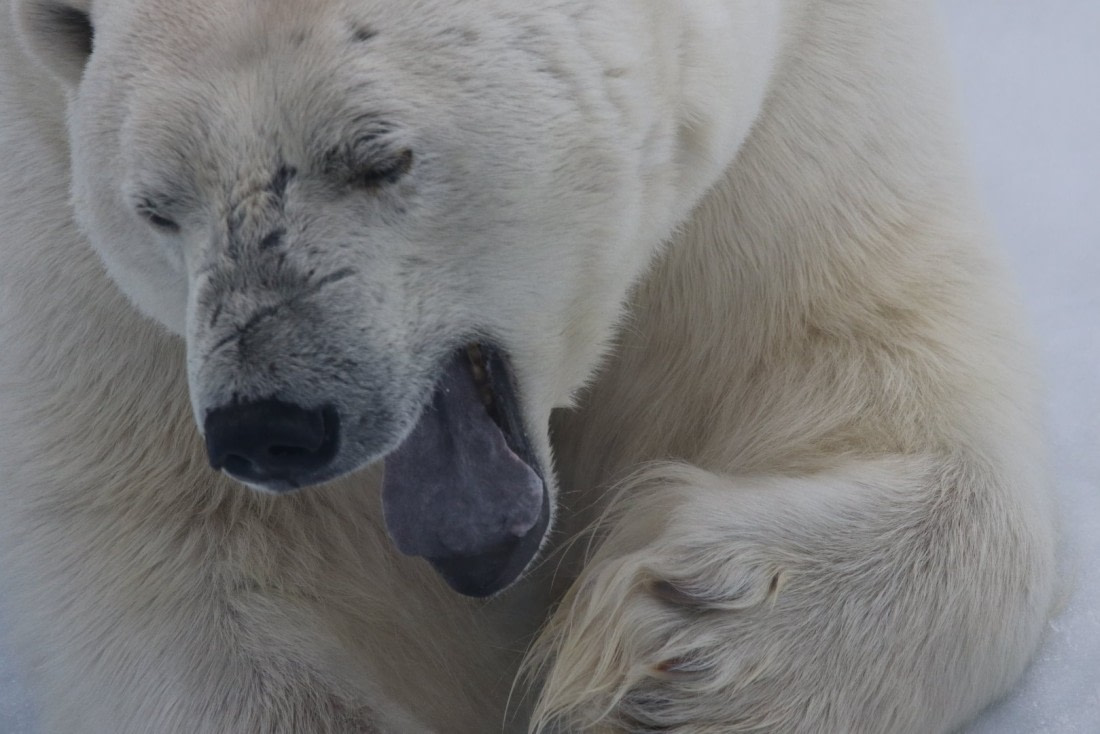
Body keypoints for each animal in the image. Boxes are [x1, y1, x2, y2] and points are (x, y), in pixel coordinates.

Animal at [0, 0, 1057, 731]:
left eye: (378, 156)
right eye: (155, 205)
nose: (266, 424)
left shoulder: (803, 116)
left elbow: (855, 347)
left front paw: (674, 663)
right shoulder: (75, 264)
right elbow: (172, 565)